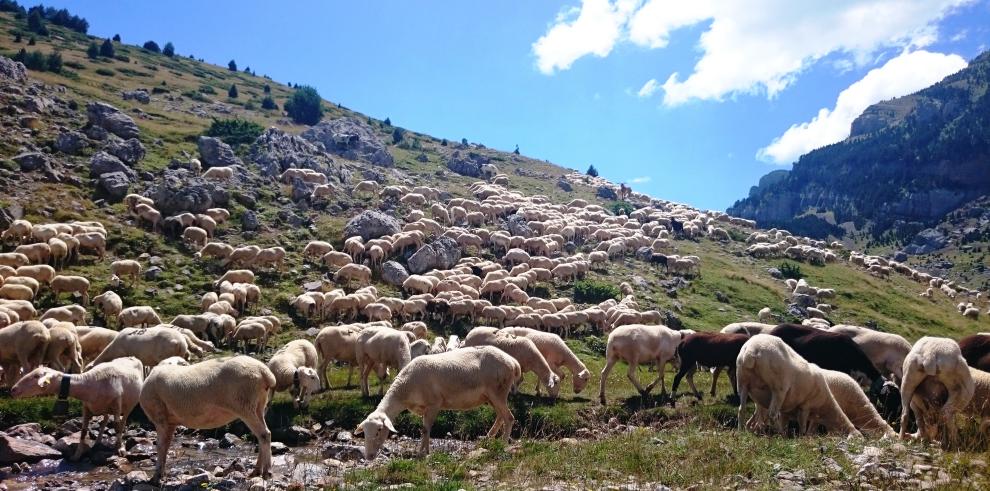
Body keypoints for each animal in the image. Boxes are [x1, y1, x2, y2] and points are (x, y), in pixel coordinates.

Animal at [11, 358, 145, 462]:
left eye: (36, 376)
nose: (13, 389)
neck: (91, 383)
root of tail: (132, 357)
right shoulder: (86, 408)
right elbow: (83, 432)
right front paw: (77, 456)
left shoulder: (117, 404)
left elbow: (117, 427)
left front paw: (120, 449)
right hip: (103, 408)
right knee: (105, 420)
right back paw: (98, 441)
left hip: (129, 405)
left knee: (122, 422)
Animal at [140, 356, 276, 486]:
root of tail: (265, 372)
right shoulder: (170, 422)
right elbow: (166, 446)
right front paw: (160, 475)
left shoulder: (160, 418)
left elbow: (161, 446)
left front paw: (156, 477)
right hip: (259, 405)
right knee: (262, 434)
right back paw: (256, 471)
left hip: (244, 404)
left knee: (264, 434)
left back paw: (267, 472)